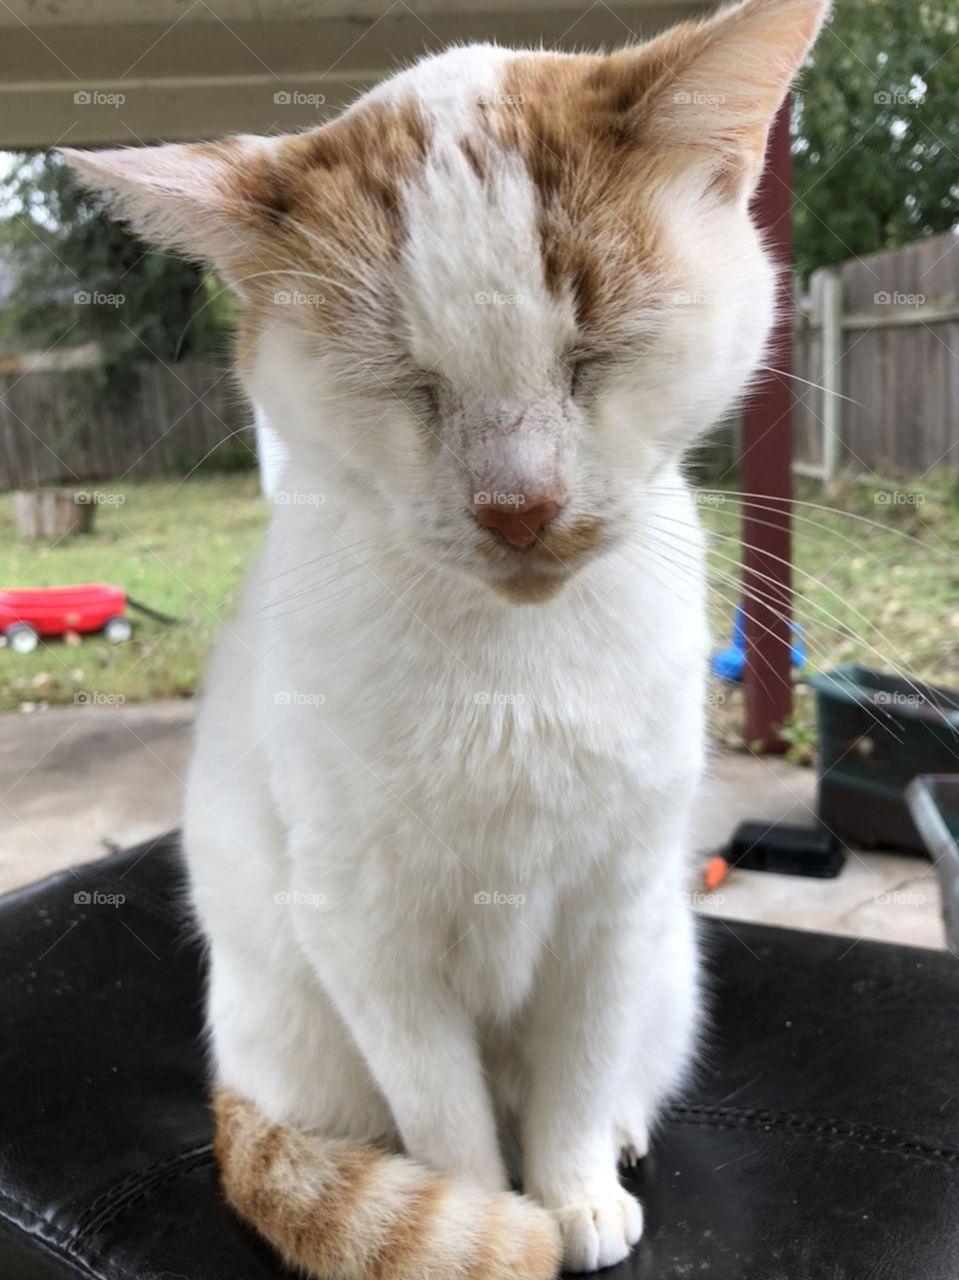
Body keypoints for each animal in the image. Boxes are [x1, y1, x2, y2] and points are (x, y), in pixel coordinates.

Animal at [67, 5, 824, 1274]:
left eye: (596, 354)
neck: (508, 668)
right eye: (404, 384)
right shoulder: (367, 933)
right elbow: (445, 1114)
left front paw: (572, 1189)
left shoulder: (613, 906)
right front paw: (492, 1214)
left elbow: (574, 1077)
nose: (517, 507)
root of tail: (233, 1074)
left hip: (669, 965)